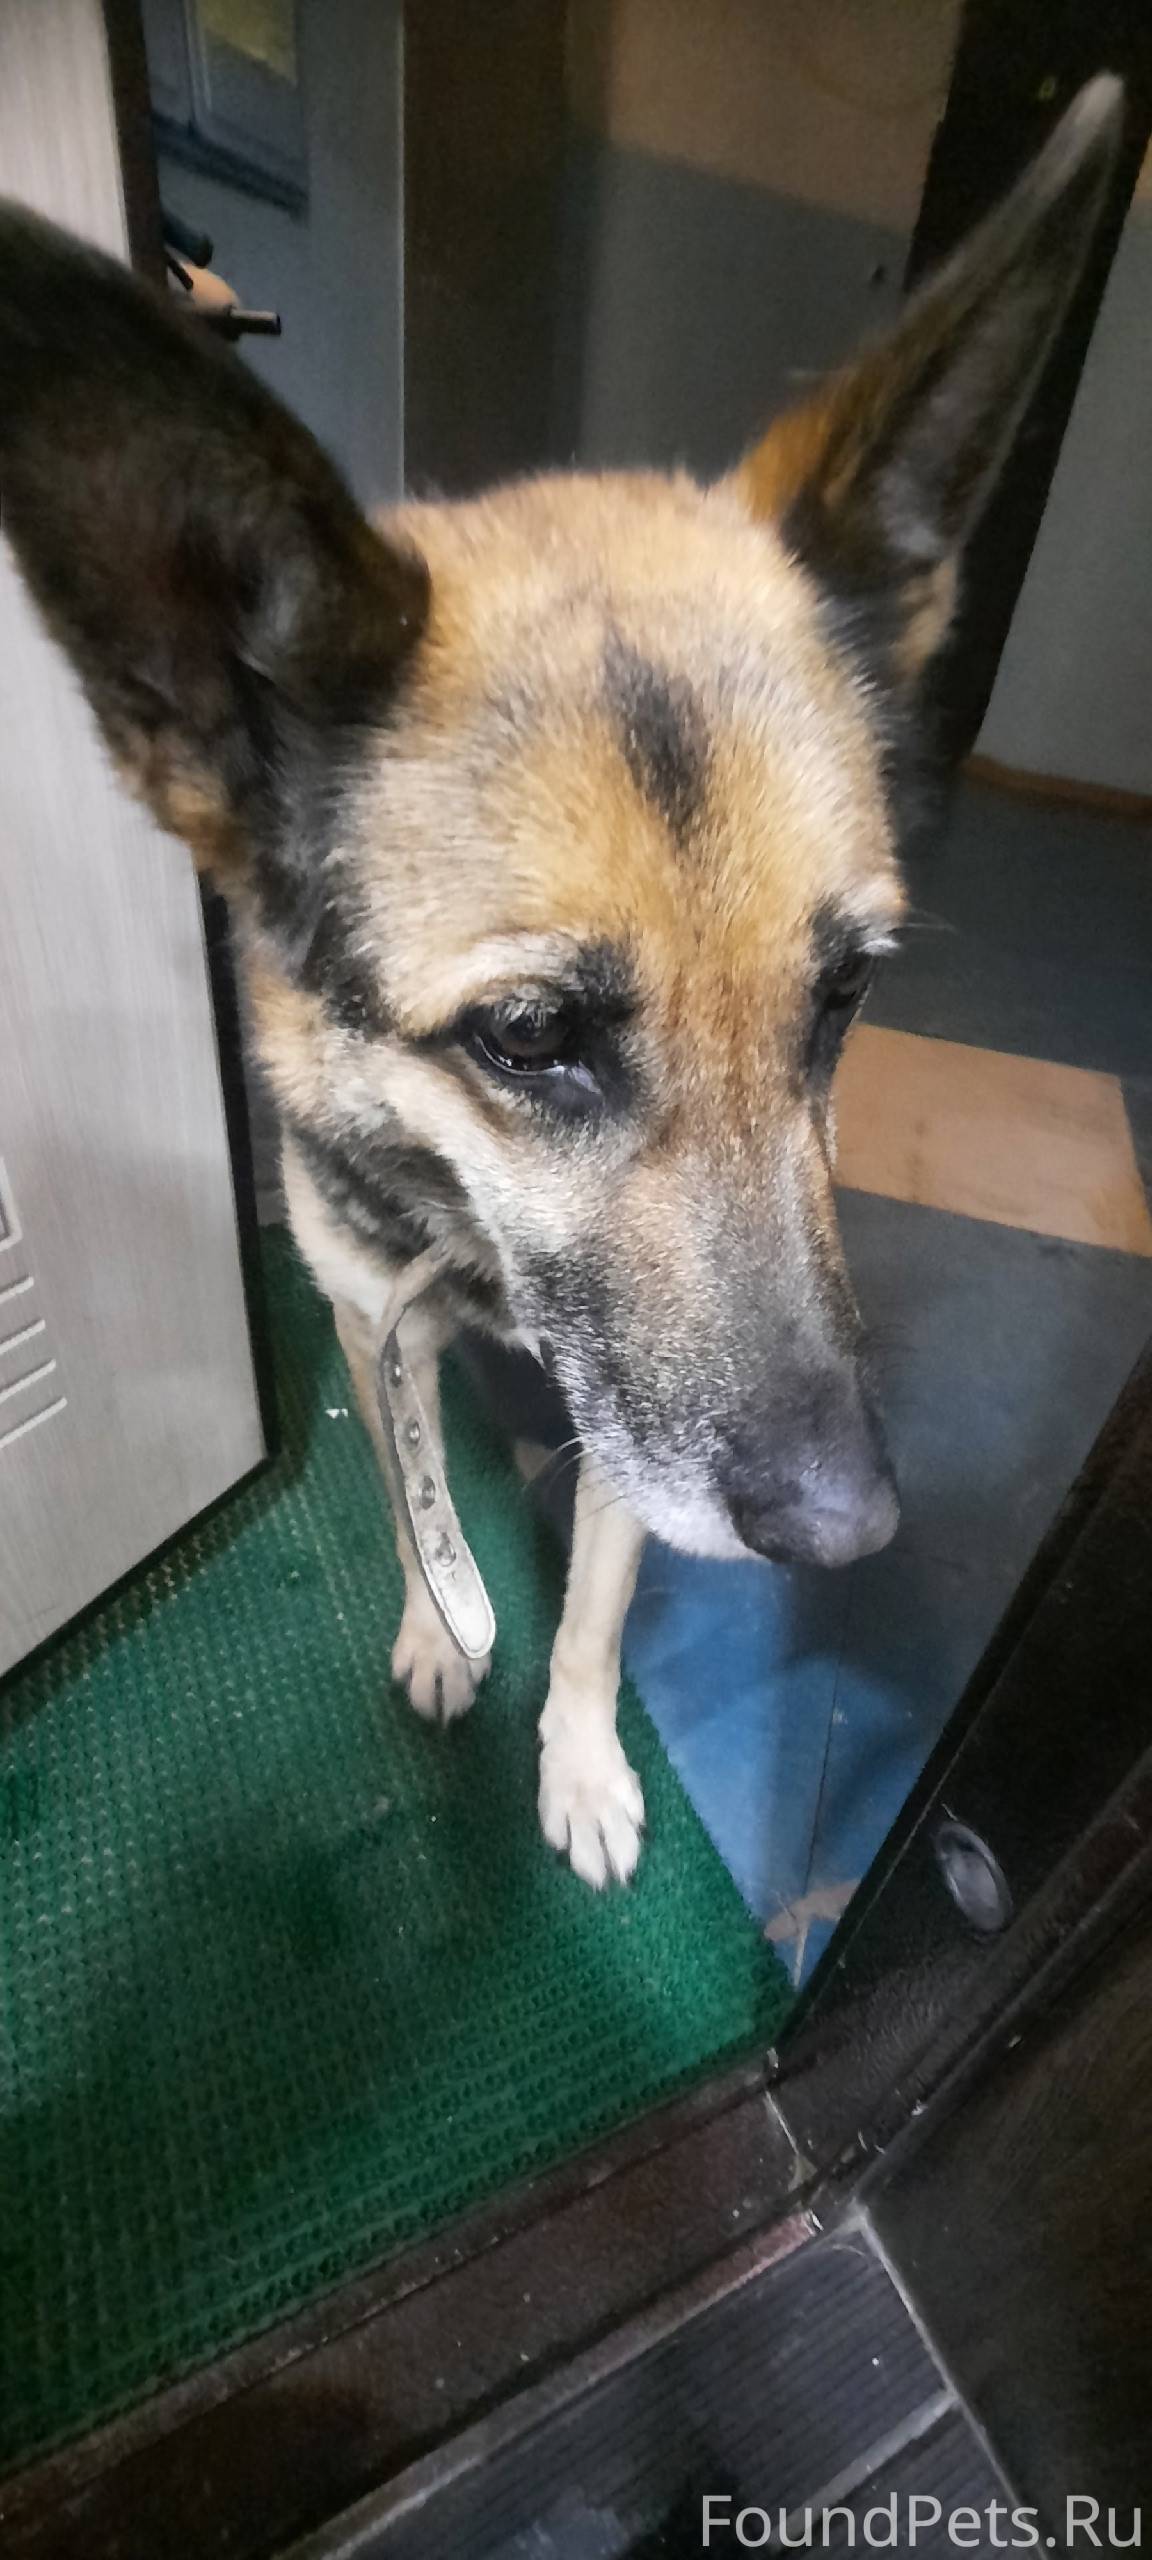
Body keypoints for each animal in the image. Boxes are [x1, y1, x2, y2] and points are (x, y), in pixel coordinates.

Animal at [0, 79, 1119, 1886]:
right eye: (528, 1036)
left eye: (842, 997)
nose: (847, 1532)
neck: (468, 1238)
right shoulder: (377, 1318)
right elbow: (410, 1502)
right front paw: (441, 1631)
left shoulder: (627, 1431)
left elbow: (595, 1611)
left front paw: (582, 1762)